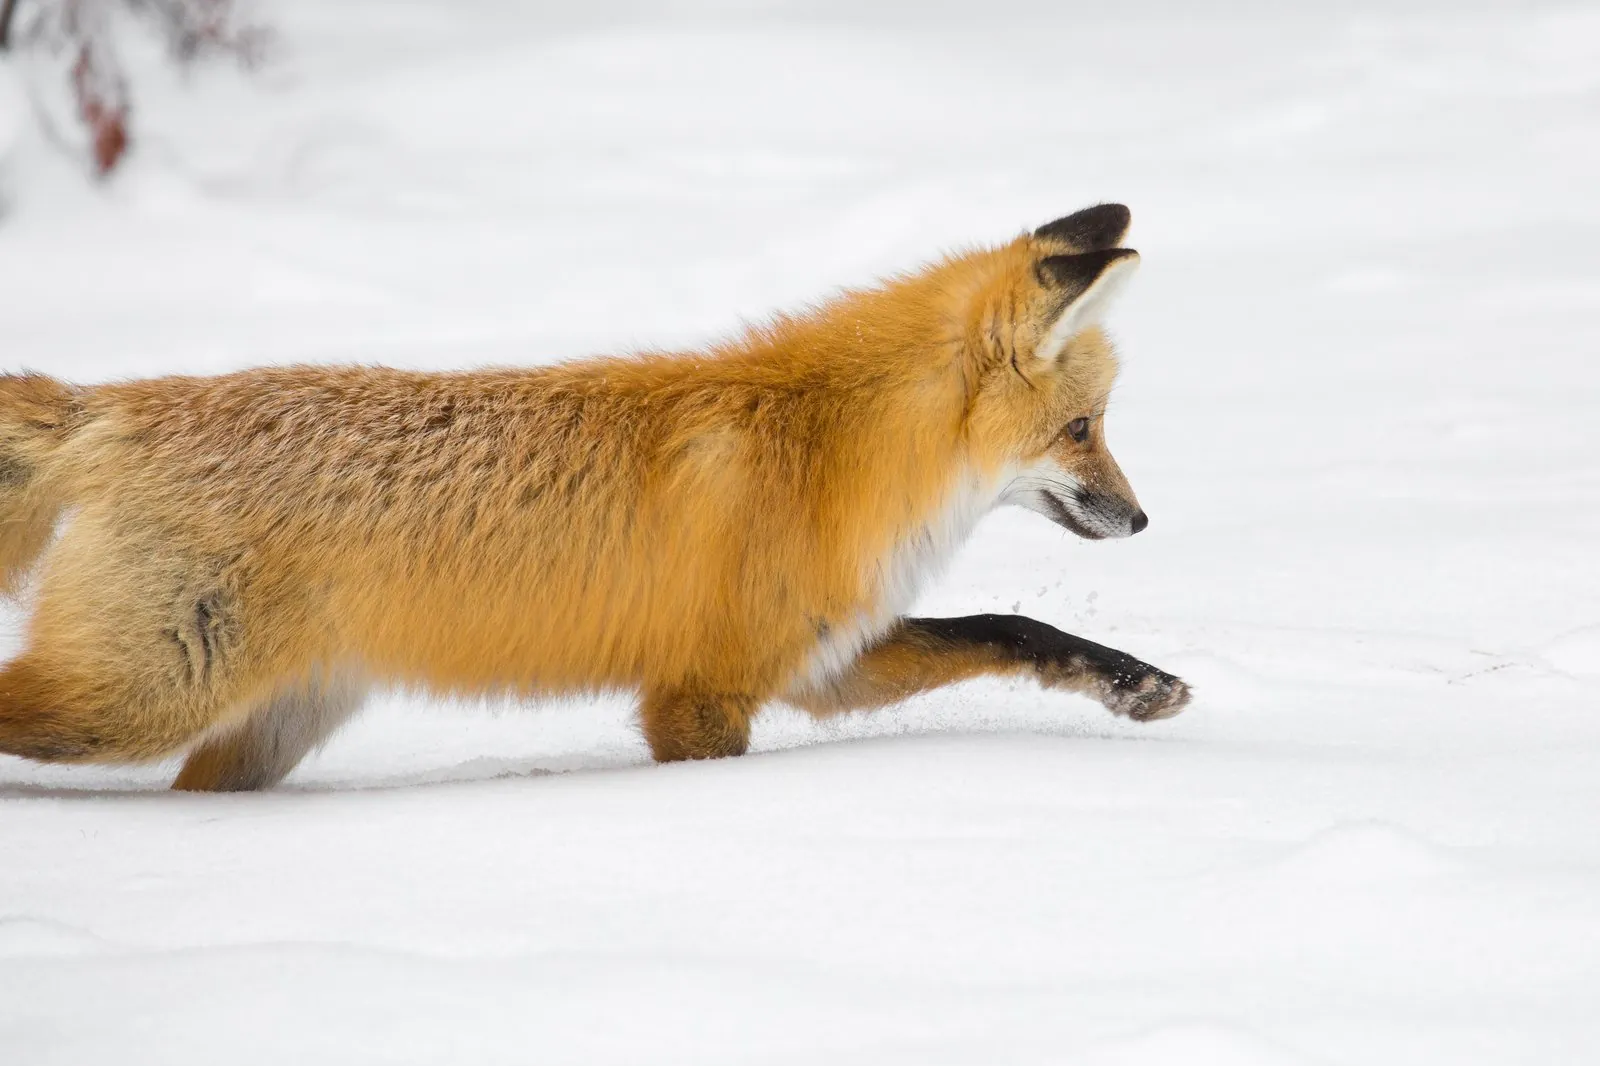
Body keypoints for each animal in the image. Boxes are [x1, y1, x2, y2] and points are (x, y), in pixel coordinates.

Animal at [0, 203, 1189, 791]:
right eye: (1083, 430)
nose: (1141, 520)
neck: (833, 448)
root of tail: (116, 406)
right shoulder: (697, 697)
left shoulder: (818, 661)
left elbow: (1009, 627)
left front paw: (1136, 685)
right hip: (136, 700)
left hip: (261, 730)